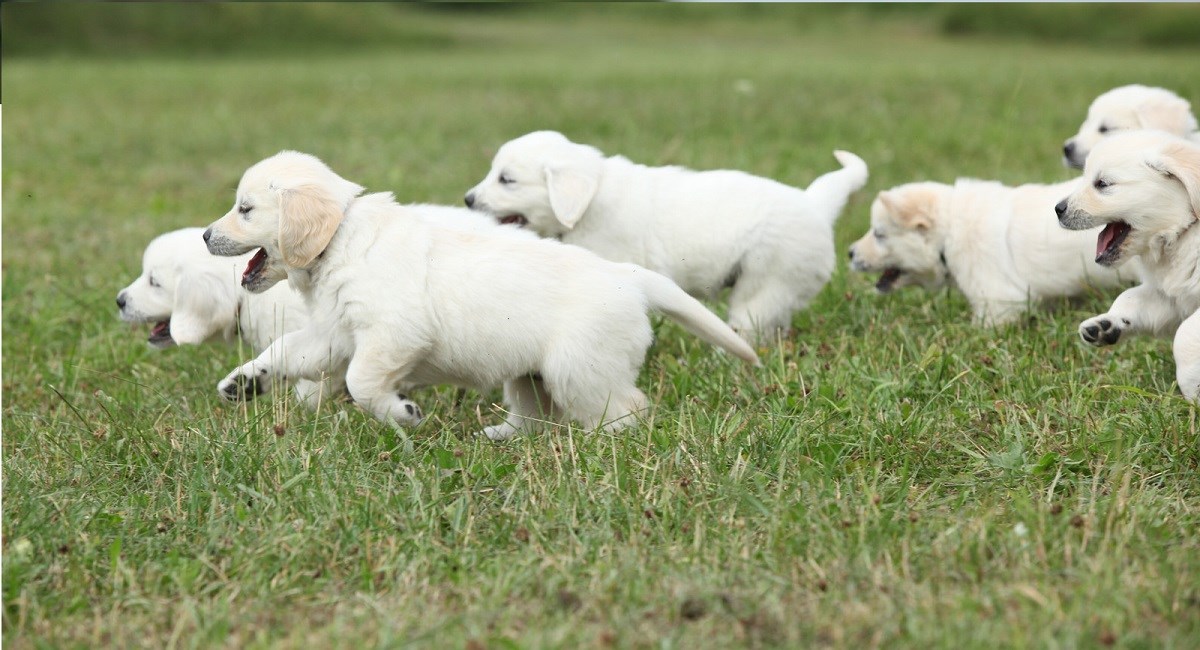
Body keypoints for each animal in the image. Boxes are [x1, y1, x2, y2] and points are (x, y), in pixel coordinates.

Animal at [200, 151, 753, 443]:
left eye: (245, 209)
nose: (205, 235)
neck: (341, 239)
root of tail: (629, 277)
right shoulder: (335, 332)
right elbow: (286, 351)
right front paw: (243, 382)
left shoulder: (392, 334)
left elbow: (360, 382)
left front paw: (403, 413)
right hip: (531, 377)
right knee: (535, 418)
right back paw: (496, 437)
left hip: (581, 370)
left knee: (627, 409)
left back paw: (602, 443)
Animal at [1060, 128, 1200, 402]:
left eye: (1103, 184)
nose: (1058, 209)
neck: (1182, 232)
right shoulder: (1171, 296)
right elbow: (1130, 297)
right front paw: (1107, 324)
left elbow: (1185, 335)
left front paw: (1193, 387)